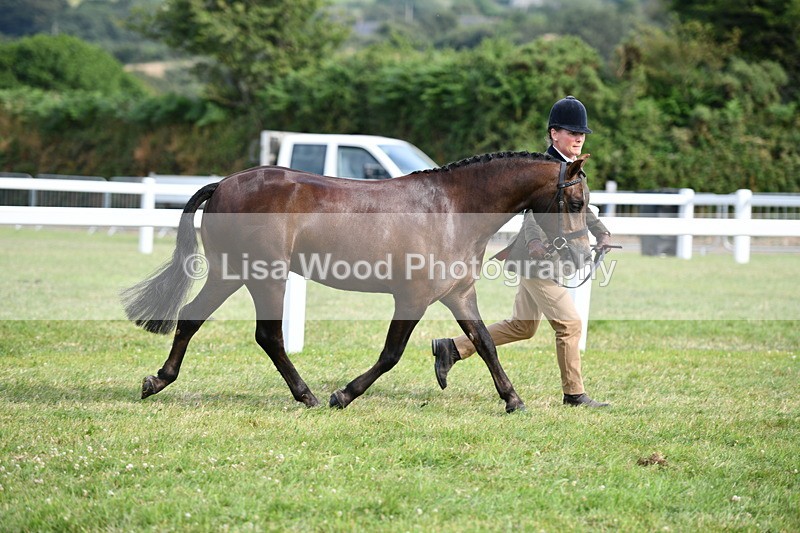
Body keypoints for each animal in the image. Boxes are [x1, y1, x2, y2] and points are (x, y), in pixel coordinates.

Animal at [121, 151, 592, 413]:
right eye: (575, 201)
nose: (584, 254)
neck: (452, 208)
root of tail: (223, 184)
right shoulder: (412, 298)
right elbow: (391, 354)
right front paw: (343, 395)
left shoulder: (459, 295)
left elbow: (486, 343)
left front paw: (513, 400)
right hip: (265, 277)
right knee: (268, 336)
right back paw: (308, 396)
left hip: (229, 273)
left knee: (190, 319)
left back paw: (158, 380)